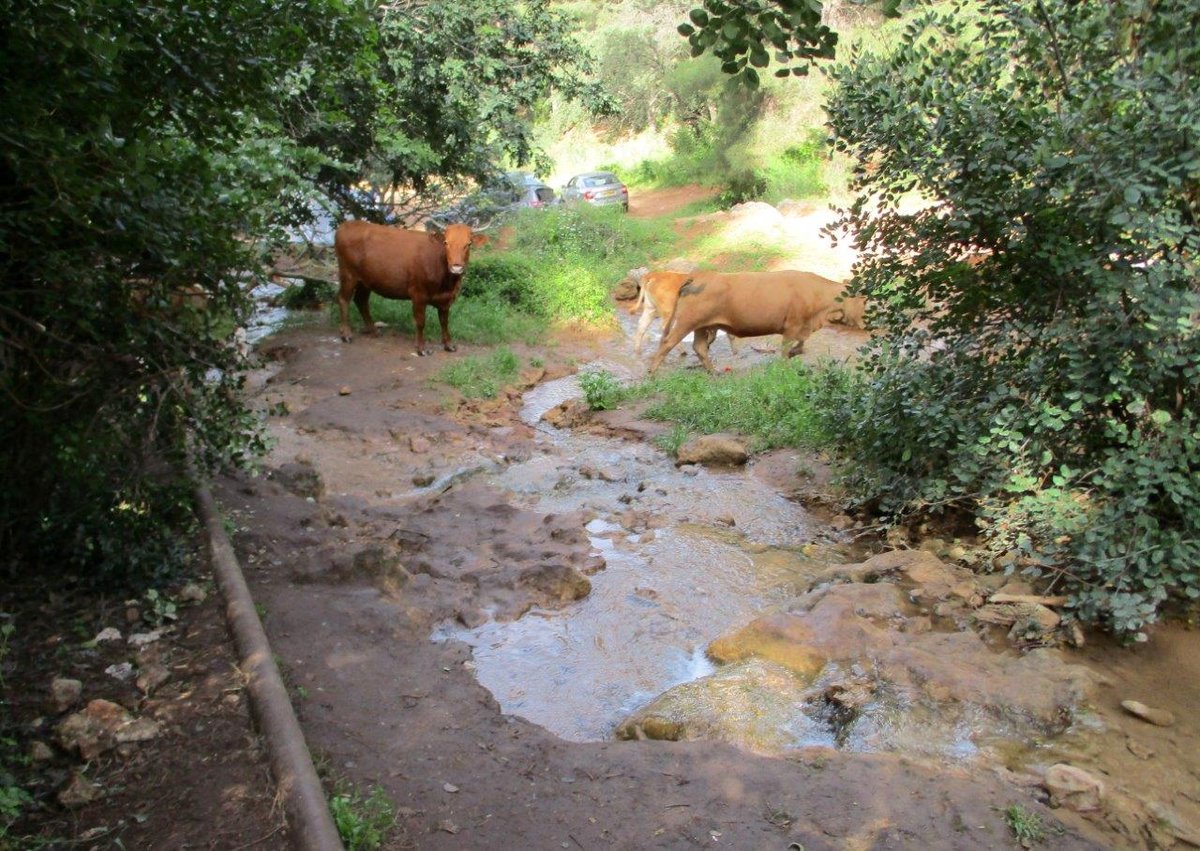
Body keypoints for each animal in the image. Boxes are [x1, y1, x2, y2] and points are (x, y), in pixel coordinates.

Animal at [333, 220, 487, 352]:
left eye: (468, 244)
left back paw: (374, 330)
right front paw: (421, 348)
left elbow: (444, 322)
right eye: (446, 242)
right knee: (343, 299)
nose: (456, 267)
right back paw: (346, 334)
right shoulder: (418, 293)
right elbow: (420, 321)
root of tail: (346, 224)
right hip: (348, 274)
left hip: (366, 281)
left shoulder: (446, 298)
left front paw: (449, 345)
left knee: (361, 301)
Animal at [648, 267, 864, 369]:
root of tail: (699, 276)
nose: (866, 322)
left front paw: (796, 352)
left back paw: (713, 372)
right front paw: (785, 366)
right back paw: (652, 374)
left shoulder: (801, 327)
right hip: (686, 322)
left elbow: (801, 345)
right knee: (667, 342)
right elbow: (785, 350)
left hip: (701, 325)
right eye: (864, 300)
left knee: (699, 347)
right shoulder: (791, 326)